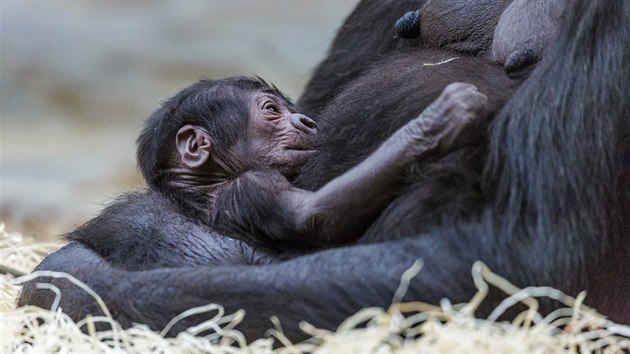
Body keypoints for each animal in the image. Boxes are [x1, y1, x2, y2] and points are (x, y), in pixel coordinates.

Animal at [138, 76, 486, 250]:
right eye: (271, 110)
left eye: (290, 109)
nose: (306, 121)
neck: (207, 186)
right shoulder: (254, 187)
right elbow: (316, 216)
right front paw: (438, 120)